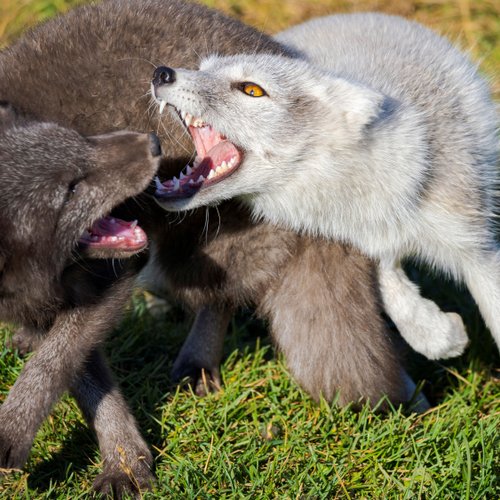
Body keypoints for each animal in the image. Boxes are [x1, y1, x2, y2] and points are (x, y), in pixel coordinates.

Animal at [152, 12, 500, 360]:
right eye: (203, 69)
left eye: (251, 89)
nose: (161, 73)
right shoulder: (362, 237)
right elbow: (389, 283)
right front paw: (438, 333)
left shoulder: (474, 245)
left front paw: (438, 332)